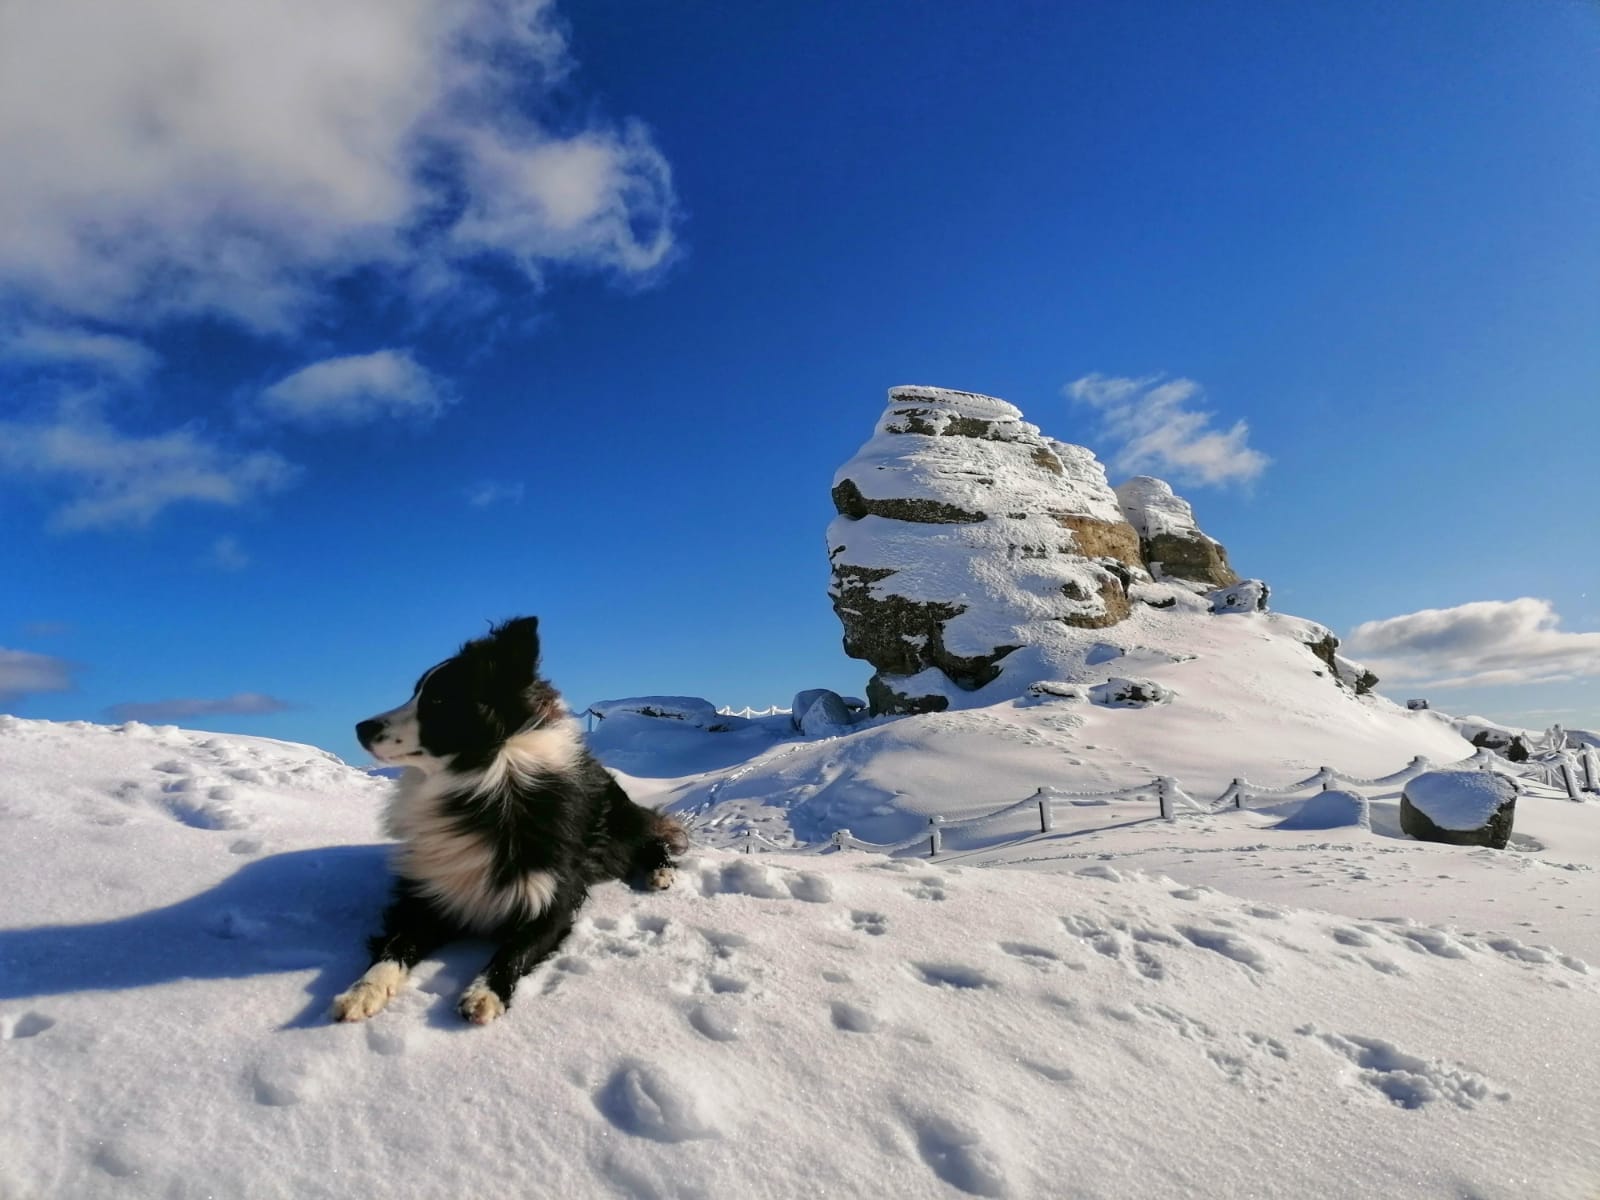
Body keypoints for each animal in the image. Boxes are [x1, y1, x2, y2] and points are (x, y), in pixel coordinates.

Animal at [334, 620, 684, 1024]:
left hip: (620, 830)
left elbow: (514, 950)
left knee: (654, 839)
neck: (487, 781)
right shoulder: (430, 893)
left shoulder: (552, 900)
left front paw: (486, 993)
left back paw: (661, 873)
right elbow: (395, 946)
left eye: (437, 700)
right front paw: (362, 991)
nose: (360, 727)